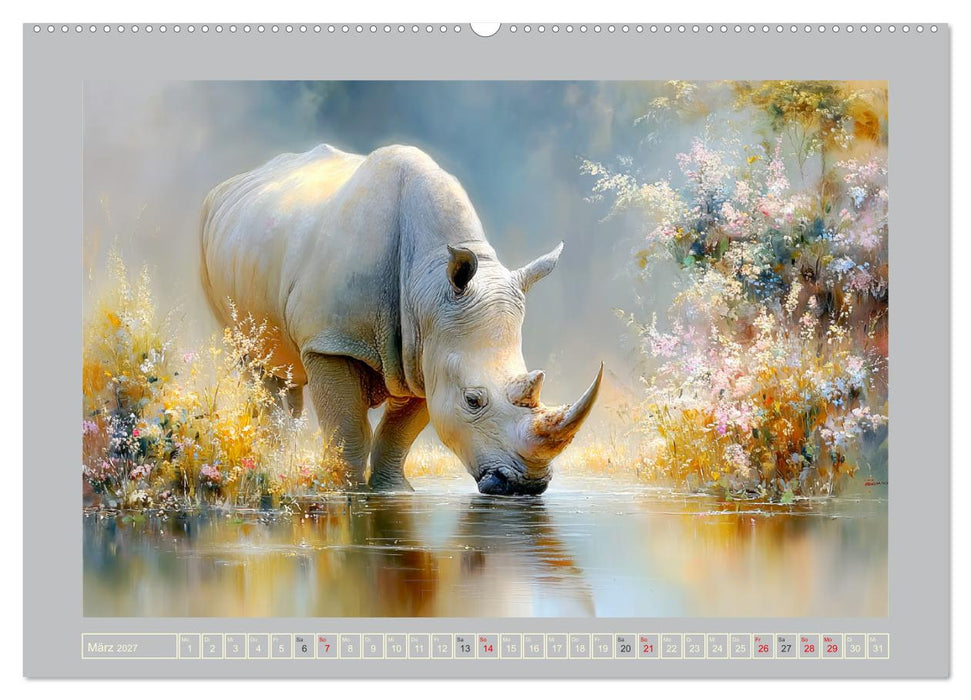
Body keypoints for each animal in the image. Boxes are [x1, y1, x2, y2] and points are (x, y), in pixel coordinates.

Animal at [200, 144, 602, 495]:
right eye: (473, 400)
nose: (526, 485)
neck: (428, 286)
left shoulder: (427, 351)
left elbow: (401, 431)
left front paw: (393, 491)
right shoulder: (332, 340)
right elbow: (347, 427)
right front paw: (347, 490)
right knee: (255, 362)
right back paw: (270, 460)